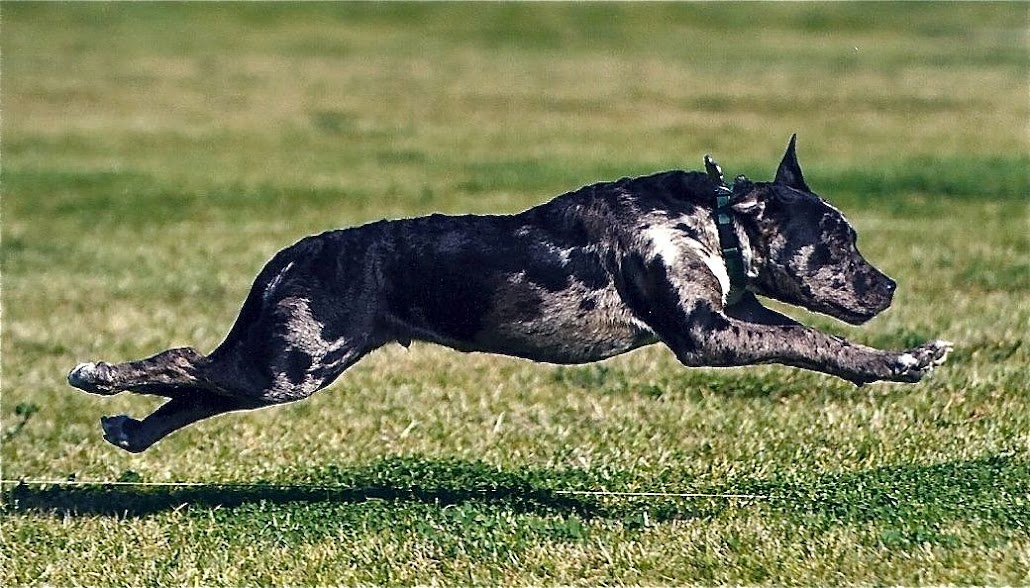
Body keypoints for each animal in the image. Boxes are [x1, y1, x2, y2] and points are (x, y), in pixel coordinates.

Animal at [66, 135, 947, 453]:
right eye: (839, 240)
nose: (889, 284)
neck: (706, 216)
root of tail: (295, 254)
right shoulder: (707, 336)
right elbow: (816, 343)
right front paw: (901, 362)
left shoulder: (735, 311)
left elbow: (817, 336)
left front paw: (901, 355)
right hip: (292, 363)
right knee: (184, 363)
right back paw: (98, 377)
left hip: (285, 366)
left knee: (194, 392)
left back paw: (131, 432)